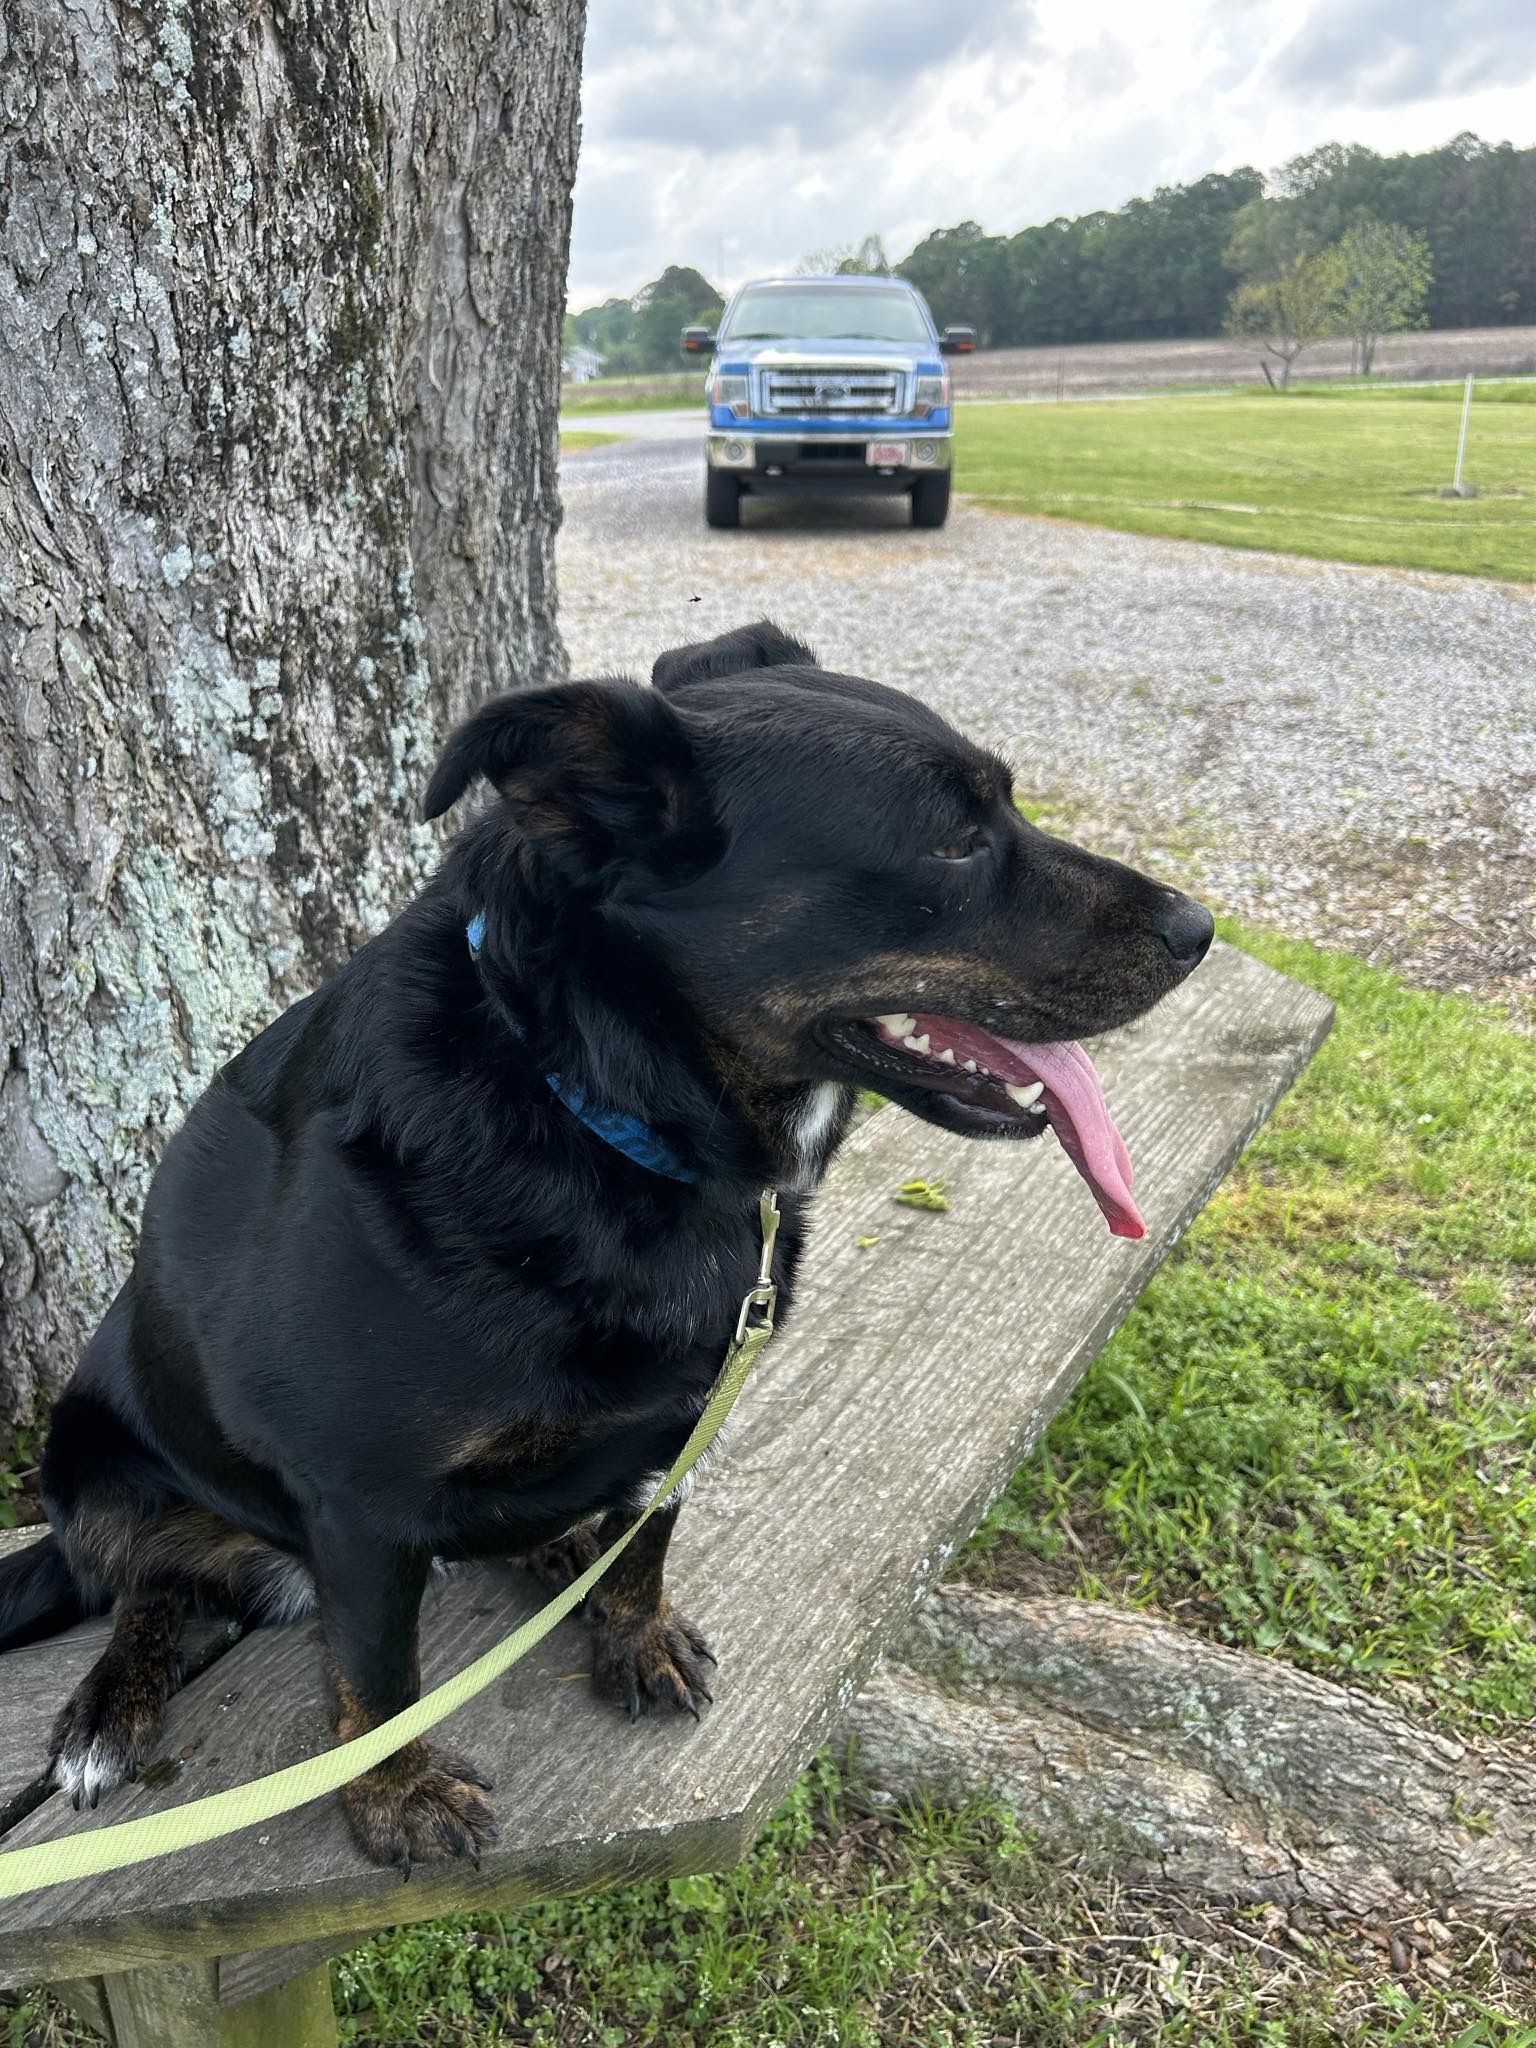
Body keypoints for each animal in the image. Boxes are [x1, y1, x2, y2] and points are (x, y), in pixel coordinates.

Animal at [0, 622, 1212, 1875]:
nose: (1202, 932)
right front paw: (393, 1795)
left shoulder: (690, 1404)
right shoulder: (359, 1502)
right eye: (956, 839)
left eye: (1007, 805)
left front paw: (633, 1634)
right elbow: (378, 1678)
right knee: (147, 1589)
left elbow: (651, 1537)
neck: (588, 1102)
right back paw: (108, 1706)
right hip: (95, 1461)